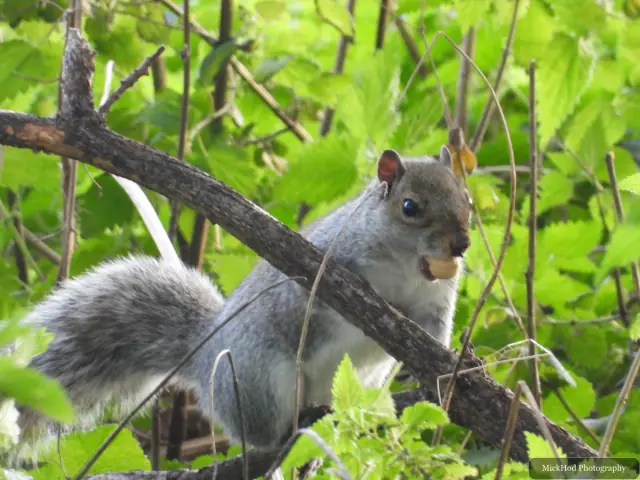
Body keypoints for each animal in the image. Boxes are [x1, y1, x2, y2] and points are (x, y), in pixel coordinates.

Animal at [15, 146, 472, 454]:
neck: (407, 266)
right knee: (261, 435)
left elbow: (434, 336)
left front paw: (444, 372)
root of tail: (205, 357)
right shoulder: (326, 263)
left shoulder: (434, 303)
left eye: (466, 199)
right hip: (260, 384)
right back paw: (294, 424)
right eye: (409, 207)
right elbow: (324, 304)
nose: (461, 244)